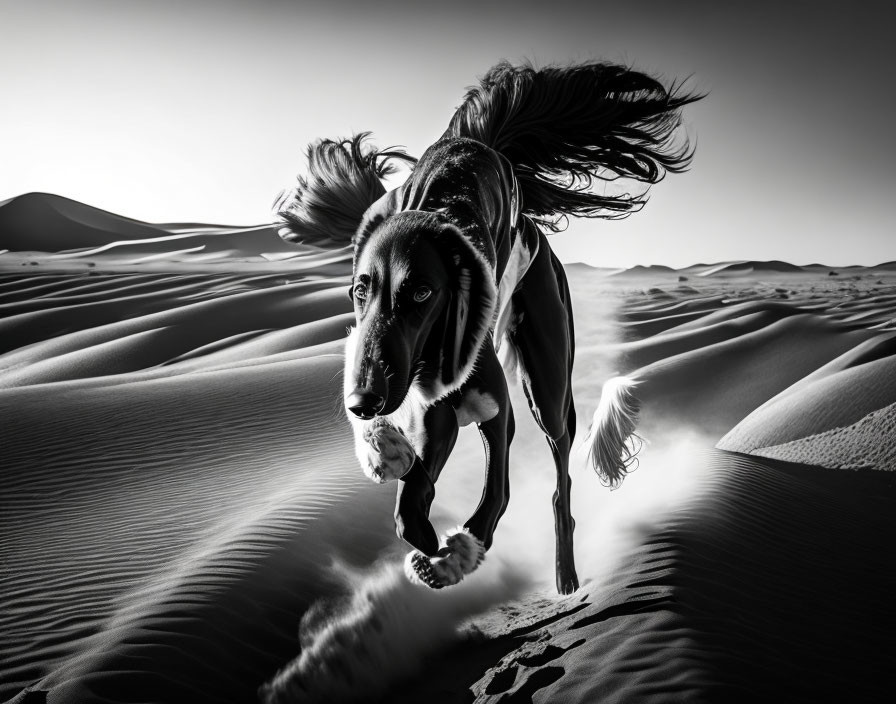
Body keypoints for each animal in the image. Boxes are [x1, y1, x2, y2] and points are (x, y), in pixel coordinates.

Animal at [278, 62, 700, 592]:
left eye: (422, 292)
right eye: (360, 290)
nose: (362, 402)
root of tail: (474, 143)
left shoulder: (498, 412)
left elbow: (495, 494)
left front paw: (458, 553)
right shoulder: (436, 417)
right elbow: (409, 507)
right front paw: (401, 478)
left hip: (547, 386)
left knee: (561, 483)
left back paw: (565, 573)